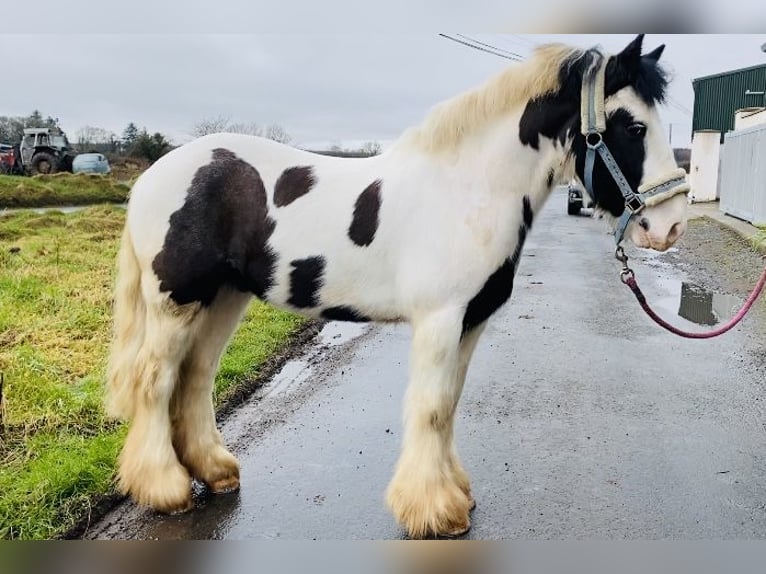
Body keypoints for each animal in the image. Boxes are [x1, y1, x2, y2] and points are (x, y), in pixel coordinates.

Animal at [106, 35, 688, 540]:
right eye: (633, 127)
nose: (672, 227)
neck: (469, 191)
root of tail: (152, 176)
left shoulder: (471, 321)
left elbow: (448, 404)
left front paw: (455, 492)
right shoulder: (440, 320)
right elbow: (429, 407)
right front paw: (435, 511)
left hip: (224, 298)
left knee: (196, 377)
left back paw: (215, 470)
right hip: (177, 302)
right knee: (155, 380)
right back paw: (165, 489)